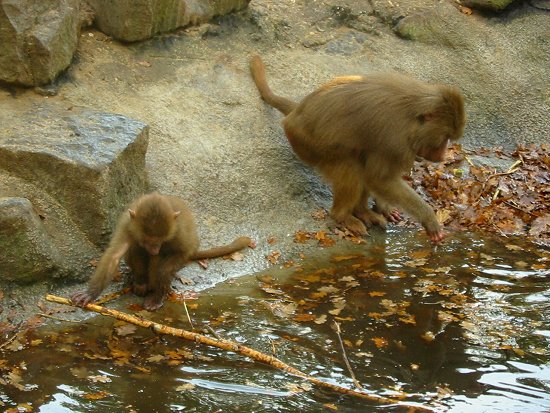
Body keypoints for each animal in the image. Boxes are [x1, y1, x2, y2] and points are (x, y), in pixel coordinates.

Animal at [72, 193, 253, 308]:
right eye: (148, 240)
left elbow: (181, 253)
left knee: (163, 258)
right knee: (136, 249)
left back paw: (156, 292)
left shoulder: (178, 231)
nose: (154, 248)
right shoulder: (127, 225)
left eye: (159, 240)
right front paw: (89, 294)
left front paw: (160, 289)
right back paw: (140, 282)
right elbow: (114, 256)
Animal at [252, 54, 468, 241]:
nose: (443, 155)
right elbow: (379, 179)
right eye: (445, 138)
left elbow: (379, 179)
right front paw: (429, 218)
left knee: (361, 158)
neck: (413, 113)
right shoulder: (395, 139)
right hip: (306, 144)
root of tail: (295, 113)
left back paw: (362, 212)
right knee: (352, 166)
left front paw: (384, 206)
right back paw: (342, 216)